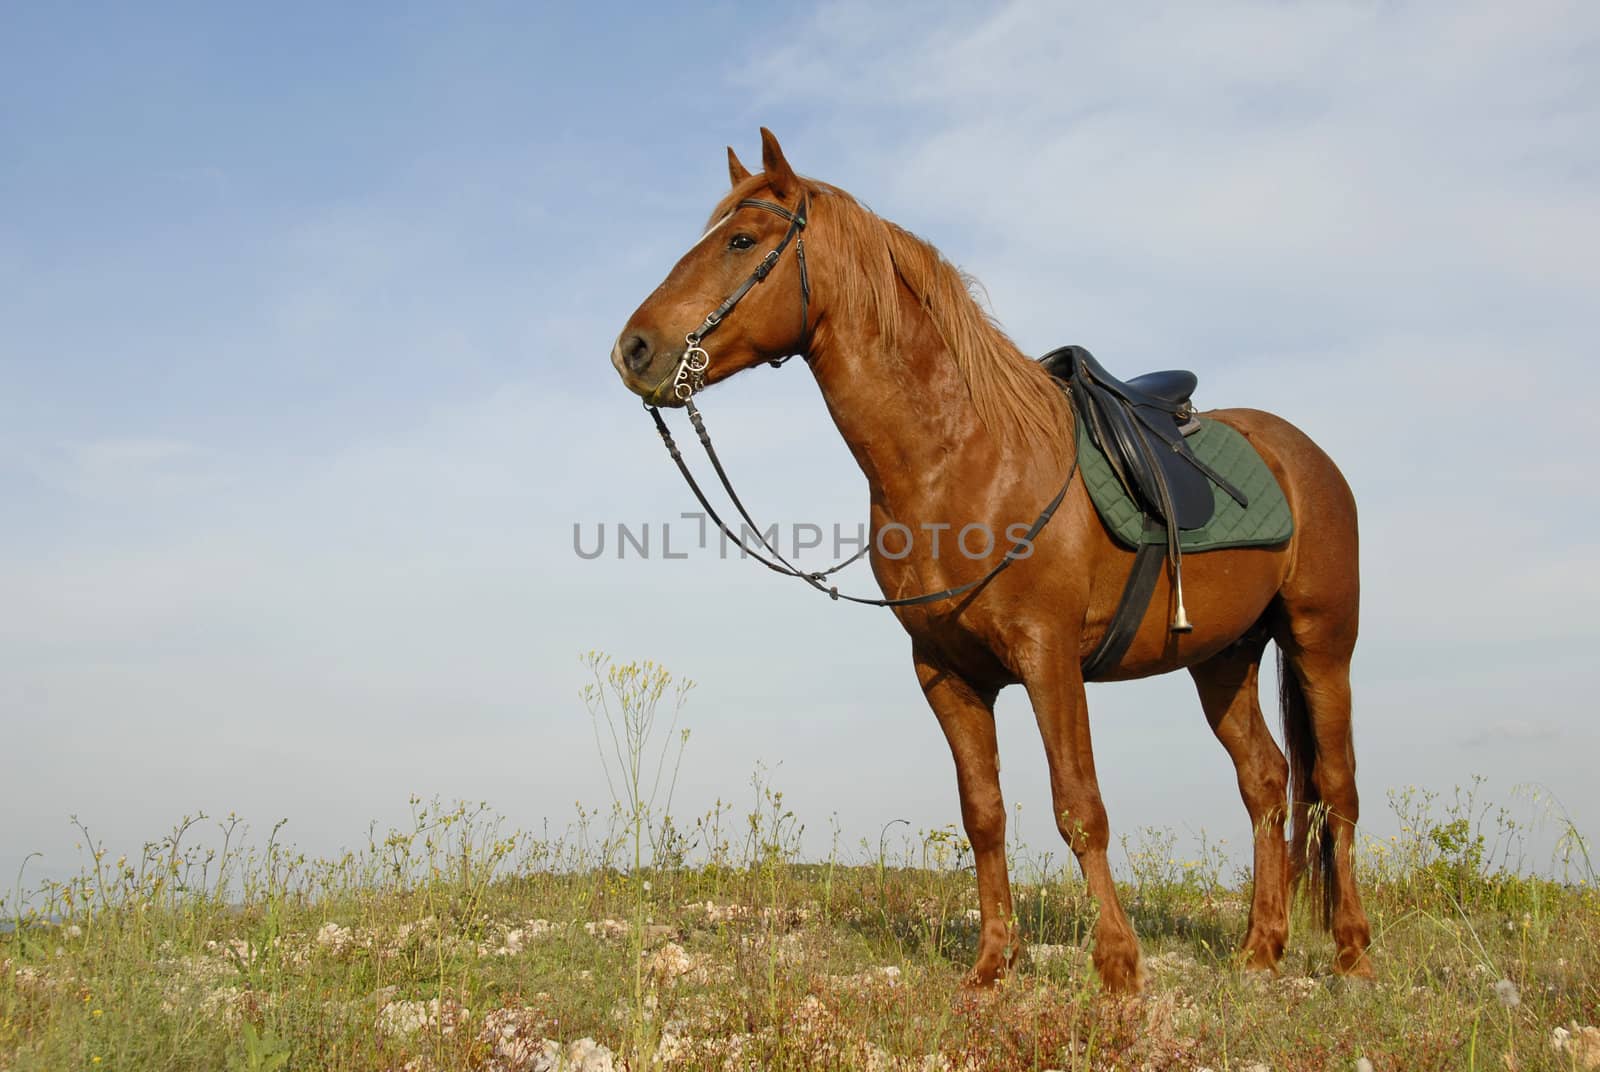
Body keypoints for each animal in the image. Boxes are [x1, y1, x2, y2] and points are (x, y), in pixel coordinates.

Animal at [611, 130, 1376, 998]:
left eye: (741, 241)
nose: (633, 349)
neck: (962, 458)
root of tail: (1303, 456)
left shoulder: (1049, 660)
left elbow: (1079, 807)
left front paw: (1118, 965)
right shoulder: (946, 672)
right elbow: (984, 814)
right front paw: (990, 964)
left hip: (1321, 644)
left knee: (1337, 789)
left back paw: (1352, 952)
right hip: (1222, 658)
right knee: (1267, 783)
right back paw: (1259, 949)